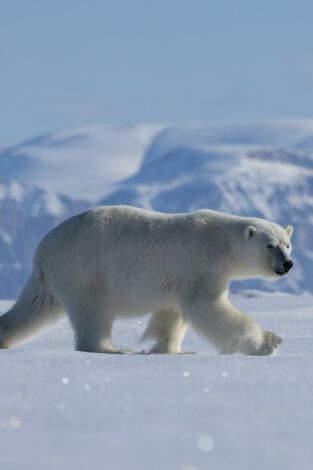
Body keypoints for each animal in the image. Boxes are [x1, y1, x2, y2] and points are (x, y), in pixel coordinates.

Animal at [0, 207, 292, 354]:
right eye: (269, 245)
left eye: (287, 244)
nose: (287, 264)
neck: (222, 242)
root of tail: (43, 248)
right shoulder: (202, 265)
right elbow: (207, 306)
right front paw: (268, 342)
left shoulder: (181, 278)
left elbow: (172, 314)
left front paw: (171, 350)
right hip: (85, 269)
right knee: (94, 311)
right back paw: (111, 349)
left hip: (54, 278)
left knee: (33, 307)